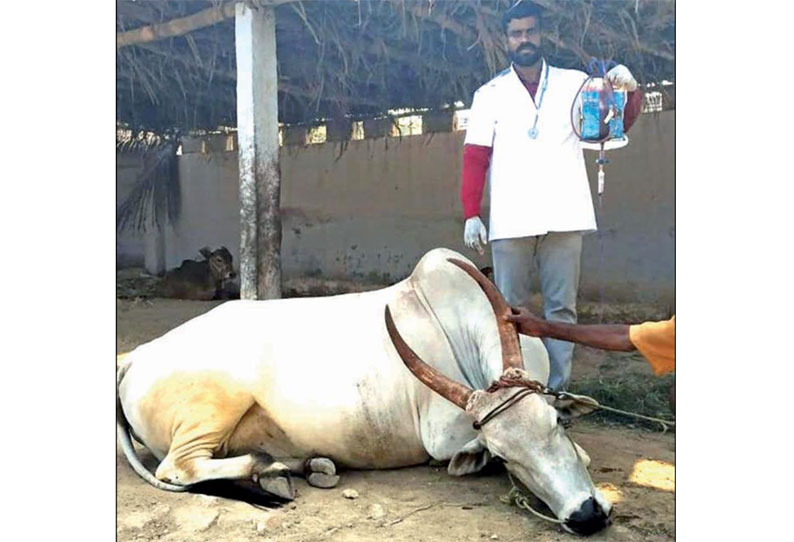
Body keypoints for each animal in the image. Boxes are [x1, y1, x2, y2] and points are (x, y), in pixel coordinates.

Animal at [117, 249, 608, 536]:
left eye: (556, 424)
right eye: (503, 455)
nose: (586, 515)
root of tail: (135, 356)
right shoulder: (442, 437)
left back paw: (305, 466)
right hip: (214, 407)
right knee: (177, 467)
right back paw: (270, 467)